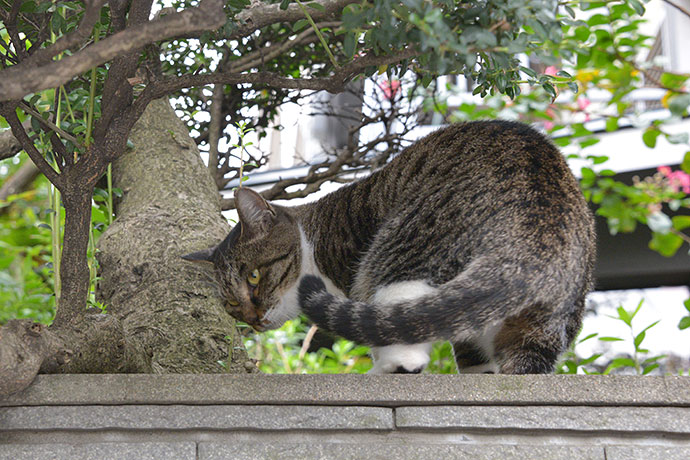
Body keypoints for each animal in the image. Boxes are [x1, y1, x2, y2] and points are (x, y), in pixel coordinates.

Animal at [183, 120, 592, 376]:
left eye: (254, 276)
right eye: (231, 304)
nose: (253, 319)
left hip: (400, 251)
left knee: (405, 346)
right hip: (539, 328)